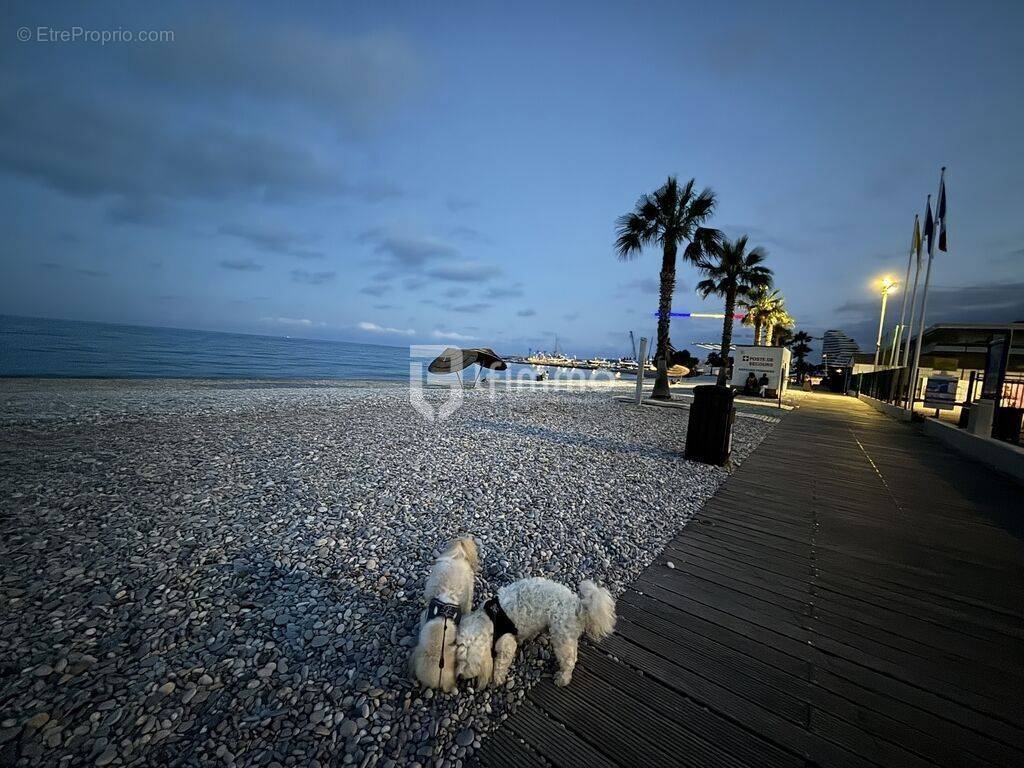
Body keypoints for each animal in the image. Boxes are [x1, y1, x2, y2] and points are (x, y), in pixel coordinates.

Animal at [458, 577, 614, 692]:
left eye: (467, 665)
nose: (459, 676)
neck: (488, 619)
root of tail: (577, 604)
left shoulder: (506, 642)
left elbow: (501, 662)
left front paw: (497, 678)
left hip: (561, 637)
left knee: (569, 660)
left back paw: (562, 678)